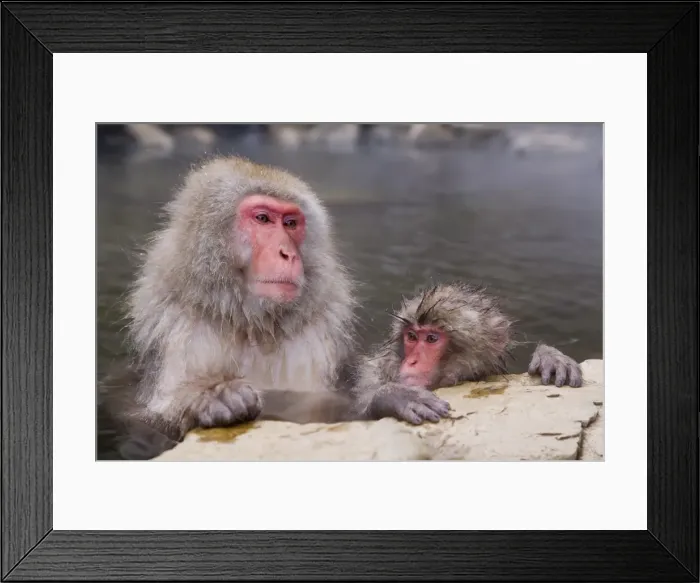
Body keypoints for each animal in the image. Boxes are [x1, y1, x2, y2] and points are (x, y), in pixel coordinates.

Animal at [98, 155, 360, 459]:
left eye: (291, 223)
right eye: (262, 218)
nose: (288, 254)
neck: (250, 324)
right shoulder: (177, 331)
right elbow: (145, 419)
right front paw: (214, 400)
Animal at [349, 282, 584, 425]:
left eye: (432, 338)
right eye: (412, 337)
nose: (412, 361)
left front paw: (550, 358)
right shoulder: (375, 371)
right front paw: (396, 396)